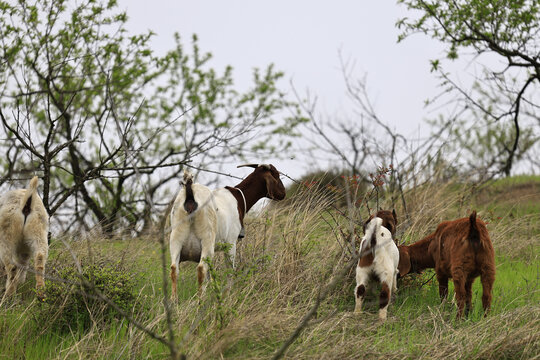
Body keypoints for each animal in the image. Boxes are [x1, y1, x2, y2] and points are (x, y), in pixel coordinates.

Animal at [0, 176, 49, 306]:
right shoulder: (24, 253)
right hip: (38, 231)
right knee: (39, 258)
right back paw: (41, 295)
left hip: (6, 236)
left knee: (12, 267)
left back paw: (7, 299)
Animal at [170, 163, 286, 298]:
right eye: (277, 175)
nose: (283, 193)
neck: (238, 198)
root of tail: (190, 193)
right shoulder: (230, 242)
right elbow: (230, 271)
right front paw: (227, 295)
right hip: (207, 239)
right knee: (201, 269)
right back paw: (200, 301)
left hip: (176, 239)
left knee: (174, 269)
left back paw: (174, 301)